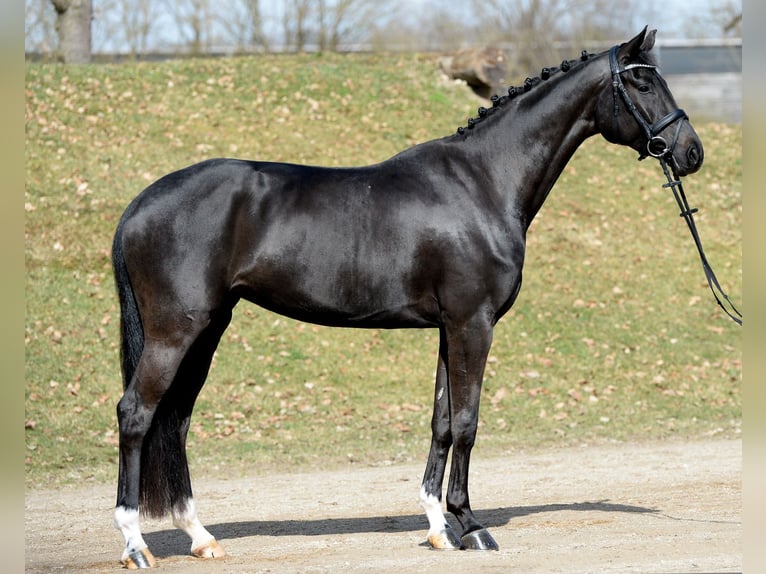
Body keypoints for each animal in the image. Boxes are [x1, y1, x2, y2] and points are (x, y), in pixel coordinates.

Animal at [111, 29, 704, 568]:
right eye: (643, 83)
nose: (691, 152)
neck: (483, 183)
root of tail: (141, 204)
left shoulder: (449, 327)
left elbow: (442, 421)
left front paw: (440, 527)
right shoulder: (473, 324)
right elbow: (467, 422)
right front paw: (472, 525)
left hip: (208, 329)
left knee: (176, 420)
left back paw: (200, 537)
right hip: (176, 331)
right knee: (137, 413)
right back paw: (136, 544)